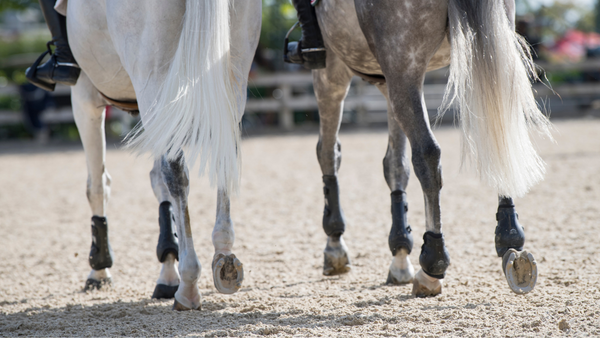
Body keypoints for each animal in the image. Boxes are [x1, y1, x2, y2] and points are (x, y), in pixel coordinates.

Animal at [65, 0, 260, 310]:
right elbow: (158, 184)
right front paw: (168, 270)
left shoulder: (84, 95)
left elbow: (97, 185)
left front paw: (99, 269)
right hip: (232, 75)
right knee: (221, 157)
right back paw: (224, 258)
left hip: (152, 78)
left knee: (175, 173)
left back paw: (189, 285)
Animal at [312, 0, 552, 296]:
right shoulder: (385, 81)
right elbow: (395, 165)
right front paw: (400, 254)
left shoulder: (331, 70)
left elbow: (329, 152)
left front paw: (335, 244)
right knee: (499, 133)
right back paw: (511, 242)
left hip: (402, 68)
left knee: (427, 154)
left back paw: (432, 264)